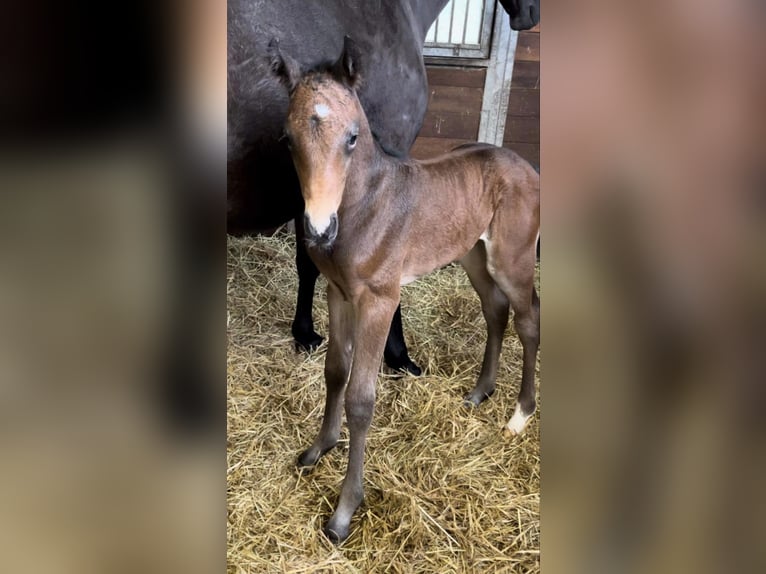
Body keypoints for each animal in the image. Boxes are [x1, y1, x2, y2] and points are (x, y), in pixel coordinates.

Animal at [272, 37, 544, 544]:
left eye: (352, 137)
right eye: (288, 139)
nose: (318, 229)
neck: (366, 205)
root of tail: (527, 165)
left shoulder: (380, 300)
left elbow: (361, 399)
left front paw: (343, 513)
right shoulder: (337, 293)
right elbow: (335, 372)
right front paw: (317, 450)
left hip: (512, 260)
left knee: (528, 319)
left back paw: (519, 415)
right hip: (472, 256)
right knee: (495, 311)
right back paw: (480, 393)